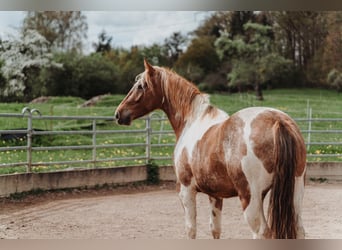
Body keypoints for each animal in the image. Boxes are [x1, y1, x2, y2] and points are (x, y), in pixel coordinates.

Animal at [115, 59, 308, 239]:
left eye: (141, 86)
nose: (118, 113)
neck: (192, 122)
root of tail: (278, 121)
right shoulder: (215, 195)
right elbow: (215, 229)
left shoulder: (186, 191)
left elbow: (191, 230)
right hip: (295, 194)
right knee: (299, 231)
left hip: (251, 198)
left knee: (261, 232)